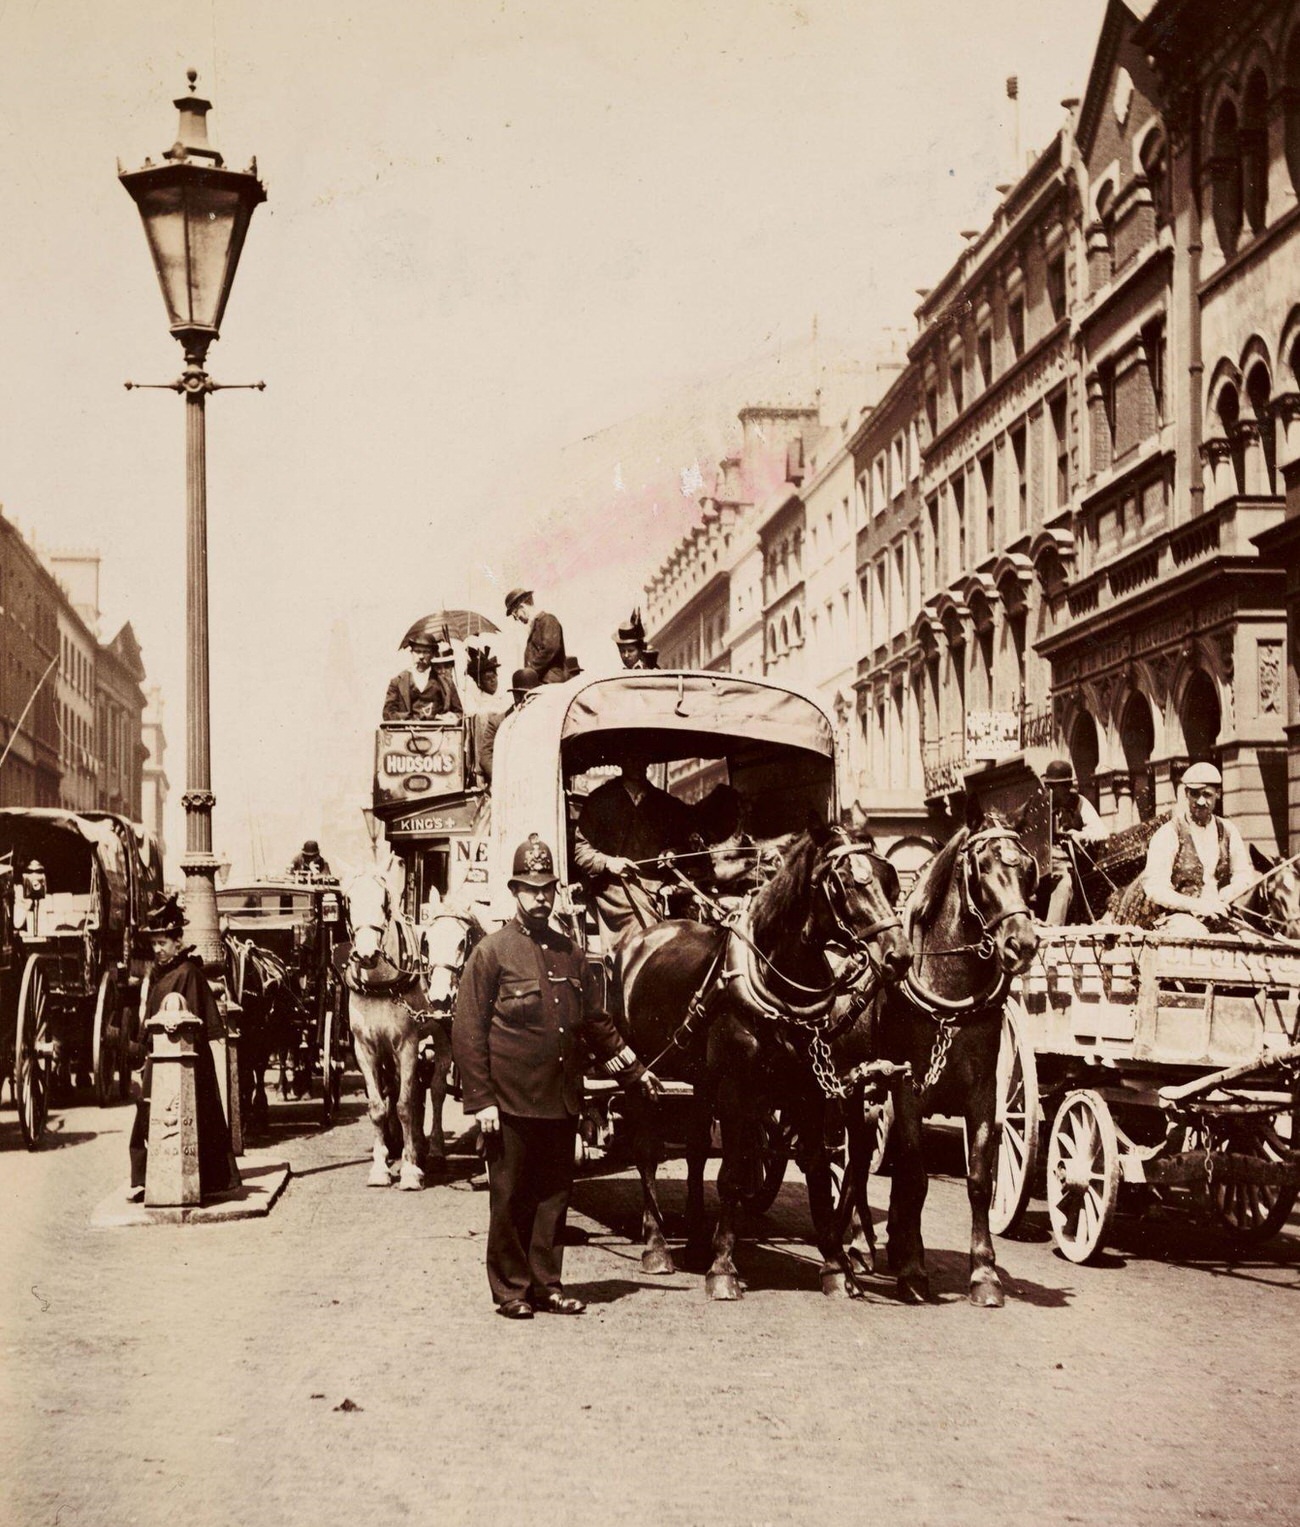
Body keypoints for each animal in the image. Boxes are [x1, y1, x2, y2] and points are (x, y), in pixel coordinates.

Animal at [337, 873, 430, 1191]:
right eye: (348, 900)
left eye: (384, 901)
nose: (366, 954)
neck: (380, 985)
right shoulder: (364, 1049)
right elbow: (377, 1106)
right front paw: (379, 1167)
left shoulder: (408, 1045)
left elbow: (405, 1104)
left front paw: (411, 1170)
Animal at [614, 824, 910, 1301]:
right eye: (846, 882)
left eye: (890, 881)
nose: (898, 956)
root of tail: (641, 937)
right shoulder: (737, 1091)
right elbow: (732, 1175)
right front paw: (722, 1268)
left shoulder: (810, 1090)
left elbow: (815, 1169)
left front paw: (835, 1266)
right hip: (641, 1071)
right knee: (647, 1151)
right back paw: (657, 1244)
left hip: (702, 1080)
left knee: (695, 1149)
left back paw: (694, 1239)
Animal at [879, 800, 1044, 1313]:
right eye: (983, 867)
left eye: (1027, 868)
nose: (1022, 944)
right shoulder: (906, 1086)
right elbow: (916, 1173)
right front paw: (913, 1269)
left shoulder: (986, 1090)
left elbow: (978, 1178)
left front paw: (984, 1273)